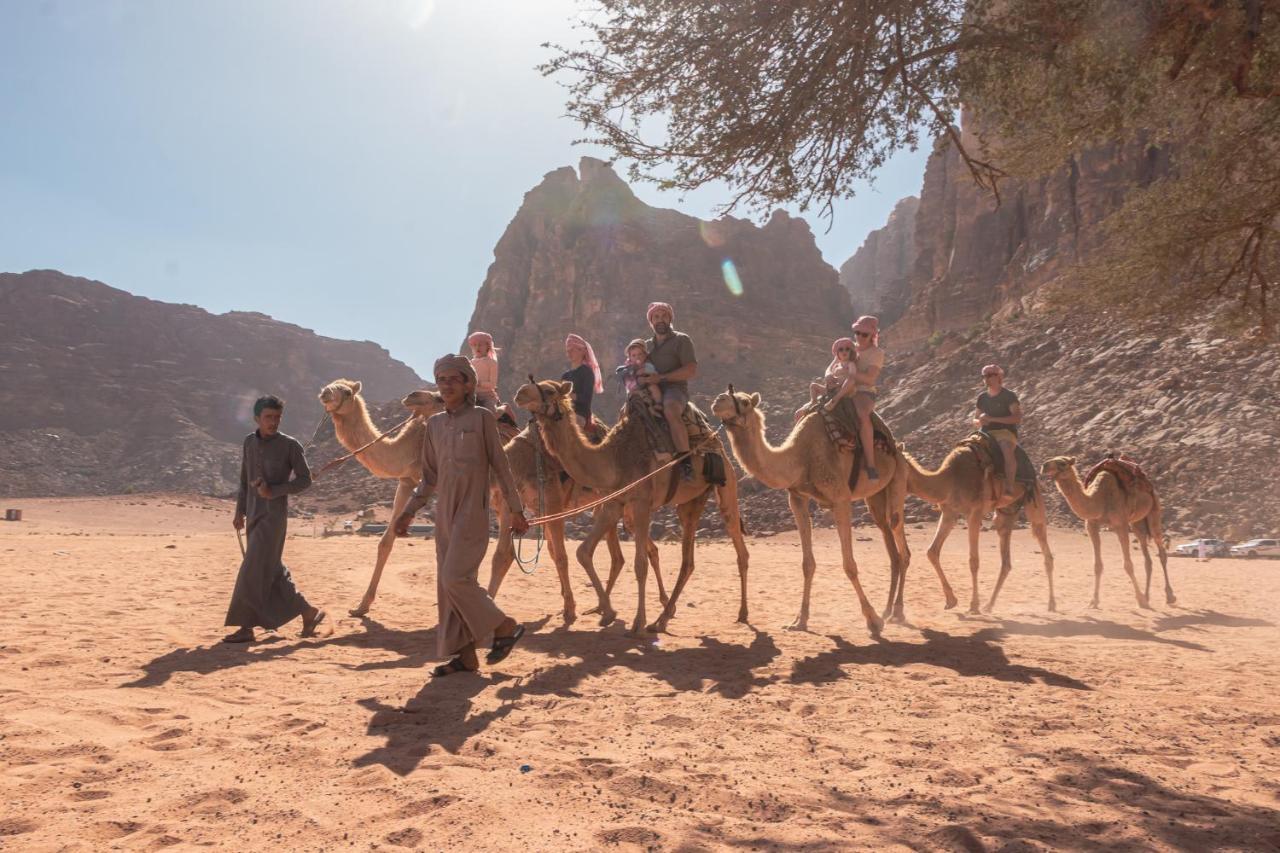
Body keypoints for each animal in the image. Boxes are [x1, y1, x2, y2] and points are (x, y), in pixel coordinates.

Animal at [314, 379, 645, 625]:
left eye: (345, 391)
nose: (412, 397)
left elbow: (489, 552)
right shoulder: (409, 481)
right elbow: (387, 542)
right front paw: (361, 606)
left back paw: (598, 608)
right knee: (604, 550)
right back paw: (599, 607)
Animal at [509, 379, 747, 630]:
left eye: (548, 390)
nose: (520, 393)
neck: (614, 458)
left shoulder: (641, 502)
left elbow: (639, 563)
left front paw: (636, 623)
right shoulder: (614, 502)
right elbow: (583, 552)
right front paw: (609, 612)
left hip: (726, 485)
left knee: (738, 546)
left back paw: (742, 613)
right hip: (691, 502)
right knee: (687, 561)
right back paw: (662, 619)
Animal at [711, 389, 911, 635]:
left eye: (745, 402)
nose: (718, 401)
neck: (800, 457)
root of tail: (897, 447)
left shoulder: (840, 499)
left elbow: (849, 565)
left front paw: (872, 621)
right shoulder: (797, 498)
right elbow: (807, 564)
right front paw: (799, 620)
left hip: (898, 476)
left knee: (899, 537)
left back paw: (897, 612)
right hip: (875, 497)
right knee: (890, 544)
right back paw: (888, 610)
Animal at [901, 440, 1059, 614]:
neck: (949, 479)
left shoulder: (974, 513)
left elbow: (974, 560)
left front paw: (973, 605)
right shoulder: (949, 513)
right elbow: (932, 552)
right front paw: (951, 600)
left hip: (1033, 498)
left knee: (1044, 545)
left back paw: (1052, 604)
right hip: (1006, 512)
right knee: (1006, 559)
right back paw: (989, 605)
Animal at [1044, 455, 1172, 607]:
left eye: (1062, 463)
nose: (1044, 466)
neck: (1099, 499)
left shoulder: (1121, 525)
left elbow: (1128, 565)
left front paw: (1140, 599)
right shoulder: (1091, 525)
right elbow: (1097, 565)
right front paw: (1094, 601)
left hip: (1154, 512)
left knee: (1161, 551)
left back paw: (1170, 596)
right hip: (1137, 523)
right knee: (1147, 557)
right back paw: (1147, 597)